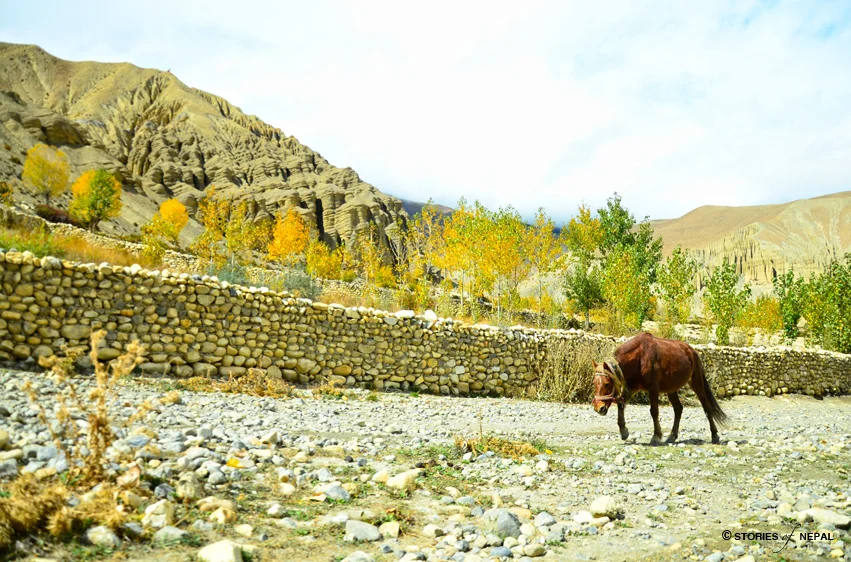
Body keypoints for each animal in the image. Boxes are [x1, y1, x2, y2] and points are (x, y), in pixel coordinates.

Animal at [591, 332, 728, 445]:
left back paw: (715, 435)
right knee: (678, 409)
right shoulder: (633, 387)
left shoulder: (653, 389)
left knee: (706, 407)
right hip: (671, 389)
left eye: (607, 384)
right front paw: (624, 432)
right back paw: (672, 436)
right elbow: (621, 403)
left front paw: (656, 436)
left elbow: (654, 411)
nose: (599, 408)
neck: (639, 356)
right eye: (594, 383)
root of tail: (691, 351)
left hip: (696, 383)